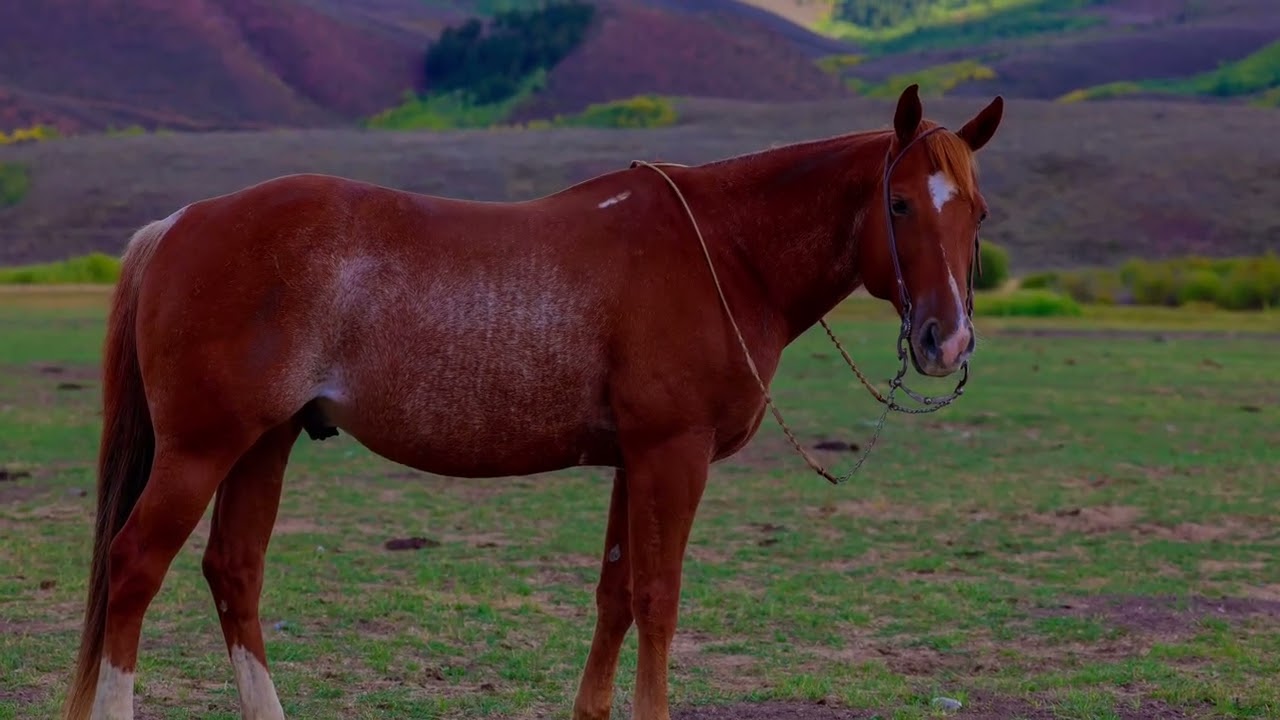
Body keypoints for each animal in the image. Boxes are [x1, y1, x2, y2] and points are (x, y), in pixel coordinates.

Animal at [62, 83, 1003, 720]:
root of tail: (184, 221)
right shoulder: (673, 455)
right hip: (202, 448)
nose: (946, 340)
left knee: (234, 571)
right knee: (135, 564)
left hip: (264, 442)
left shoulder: (636, 460)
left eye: (979, 212)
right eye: (899, 203)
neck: (725, 250)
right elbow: (658, 596)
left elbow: (617, 594)